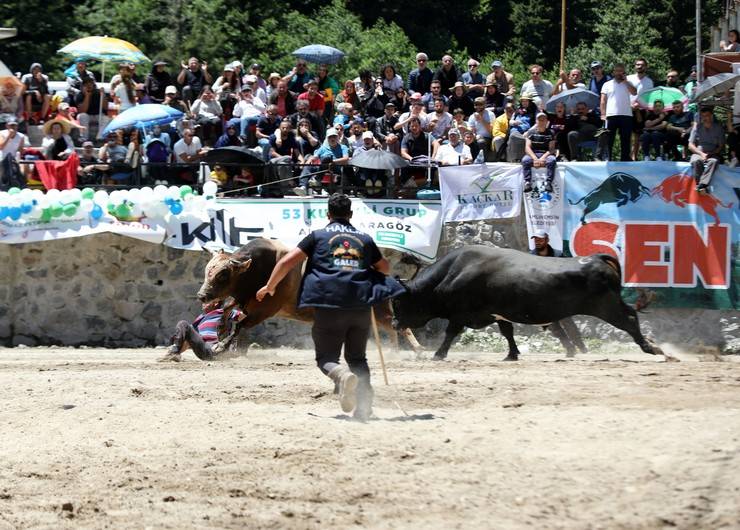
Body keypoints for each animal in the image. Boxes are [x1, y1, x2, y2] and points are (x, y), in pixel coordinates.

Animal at [195, 237, 422, 348]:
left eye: (223, 274)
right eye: (207, 270)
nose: (202, 296)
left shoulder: (264, 309)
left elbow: (238, 325)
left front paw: (222, 345)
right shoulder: (243, 299)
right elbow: (227, 310)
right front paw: (220, 331)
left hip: (380, 310)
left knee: (399, 327)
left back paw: (415, 351)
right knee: (392, 329)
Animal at [390, 245, 668, 360]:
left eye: (400, 303)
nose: (394, 324)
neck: (453, 272)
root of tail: (596, 257)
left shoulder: (460, 314)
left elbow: (450, 333)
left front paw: (439, 354)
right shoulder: (497, 314)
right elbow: (508, 333)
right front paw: (512, 354)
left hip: (607, 308)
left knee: (629, 318)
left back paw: (652, 348)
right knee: (631, 315)